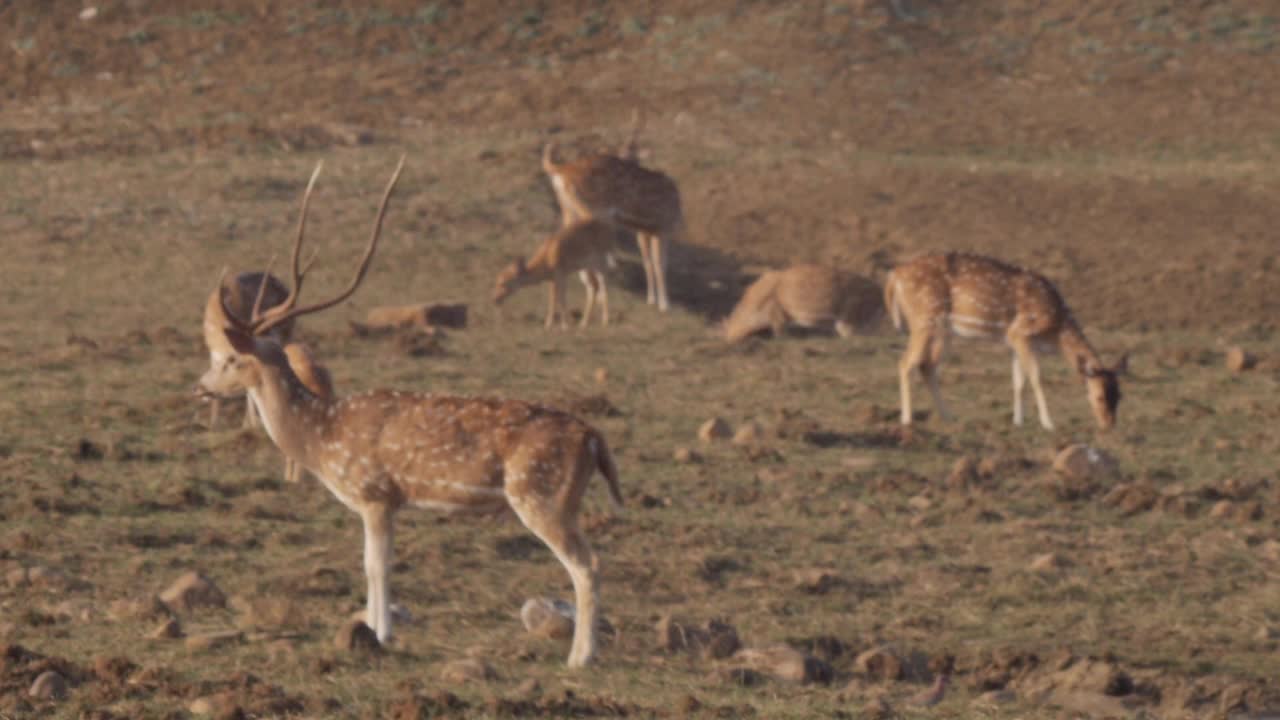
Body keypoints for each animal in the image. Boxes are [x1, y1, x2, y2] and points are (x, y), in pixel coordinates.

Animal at [193, 158, 624, 666]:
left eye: (230, 359)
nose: (201, 387)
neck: (321, 437)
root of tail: (594, 438)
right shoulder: (392, 500)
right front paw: (379, 629)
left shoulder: (374, 492)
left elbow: (374, 565)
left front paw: (379, 633)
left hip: (541, 495)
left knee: (588, 564)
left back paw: (580, 657)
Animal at [540, 111, 686, 311]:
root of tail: (563, 171)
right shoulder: (663, 227)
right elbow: (660, 264)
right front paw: (665, 305)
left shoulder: (645, 231)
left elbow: (648, 262)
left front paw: (652, 299)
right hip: (591, 210)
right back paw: (598, 291)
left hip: (568, 209)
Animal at [885, 251, 1126, 427]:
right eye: (1099, 396)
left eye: (1119, 395)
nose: (1109, 425)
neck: (1054, 332)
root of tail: (894, 277)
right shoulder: (1020, 332)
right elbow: (1036, 377)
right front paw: (1048, 423)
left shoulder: (1014, 343)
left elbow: (1018, 382)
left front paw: (1018, 421)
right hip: (923, 320)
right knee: (905, 363)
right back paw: (907, 419)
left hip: (943, 332)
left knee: (927, 366)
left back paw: (948, 417)